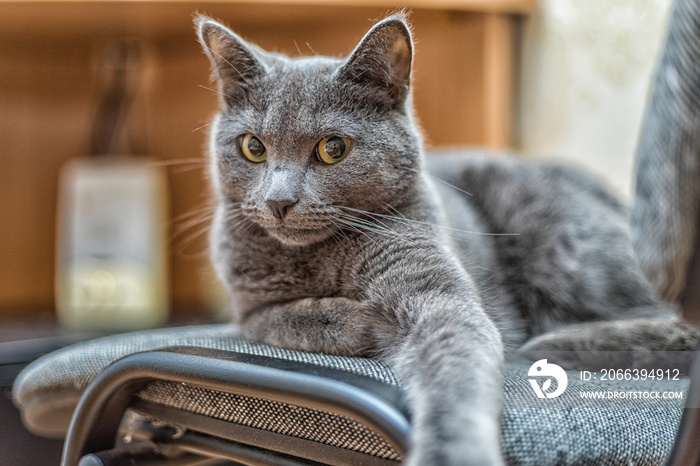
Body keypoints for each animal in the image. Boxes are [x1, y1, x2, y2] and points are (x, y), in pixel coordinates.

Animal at [194, 12, 696, 464]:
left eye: (332, 149)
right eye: (253, 147)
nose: (279, 200)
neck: (317, 258)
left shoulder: (437, 292)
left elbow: (456, 367)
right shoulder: (247, 304)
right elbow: (275, 321)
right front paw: (361, 320)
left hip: (570, 251)